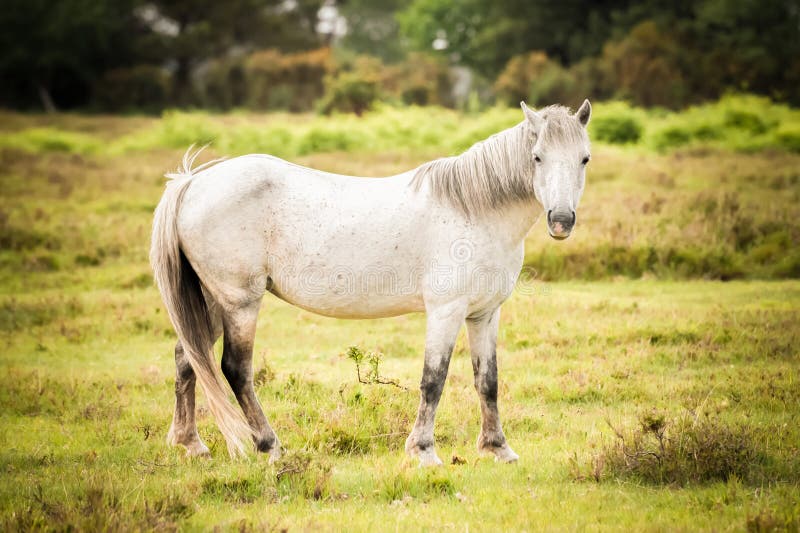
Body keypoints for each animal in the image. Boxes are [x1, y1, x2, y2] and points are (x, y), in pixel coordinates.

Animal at [152, 100, 588, 466]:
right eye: (537, 157)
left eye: (584, 158)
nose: (561, 220)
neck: (473, 210)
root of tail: (192, 184)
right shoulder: (445, 312)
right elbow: (434, 379)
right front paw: (423, 451)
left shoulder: (484, 314)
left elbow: (488, 381)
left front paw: (498, 449)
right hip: (240, 303)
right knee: (235, 369)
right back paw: (269, 445)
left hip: (211, 301)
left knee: (188, 358)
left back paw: (190, 443)